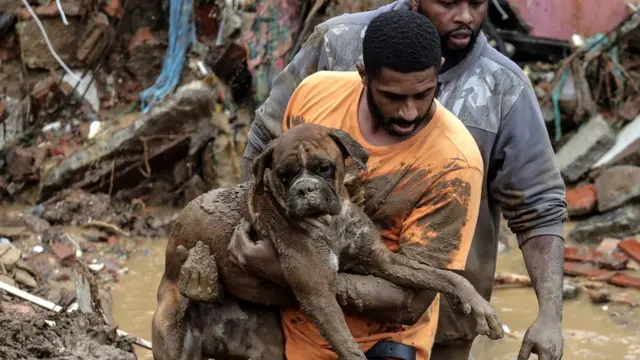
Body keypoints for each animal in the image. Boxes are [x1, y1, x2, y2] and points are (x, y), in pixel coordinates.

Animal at [151, 121, 504, 360]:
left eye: (323, 168)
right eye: (285, 175)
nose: (305, 189)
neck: (329, 223)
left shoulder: (385, 260)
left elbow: (442, 276)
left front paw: (479, 305)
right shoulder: (318, 294)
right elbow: (348, 346)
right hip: (171, 327)